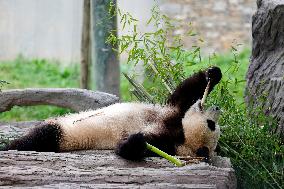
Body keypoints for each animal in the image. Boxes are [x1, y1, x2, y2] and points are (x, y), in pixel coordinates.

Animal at [3, 66, 223, 161]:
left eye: (211, 125)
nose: (217, 108)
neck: (182, 135)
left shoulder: (168, 140)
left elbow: (134, 148)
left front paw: (136, 142)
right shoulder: (173, 114)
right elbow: (181, 95)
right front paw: (212, 74)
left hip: (64, 135)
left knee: (42, 137)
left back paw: (10, 147)